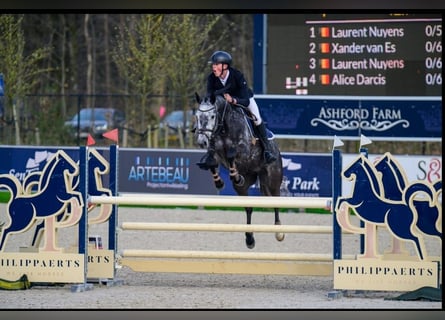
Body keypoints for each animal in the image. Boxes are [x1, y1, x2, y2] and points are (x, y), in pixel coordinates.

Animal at [193, 91, 282, 249]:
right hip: (245, 186)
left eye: (212, 116)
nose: (202, 142)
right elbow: (211, 162)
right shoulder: (216, 152)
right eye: (197, 116)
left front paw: (235, 176)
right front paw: (219, 182)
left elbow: (231, 154)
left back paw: (278, 231)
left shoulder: (245, 150)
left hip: (273, 180)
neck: (223, 127)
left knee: (276, 201)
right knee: (248, 208)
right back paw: (249, 238)